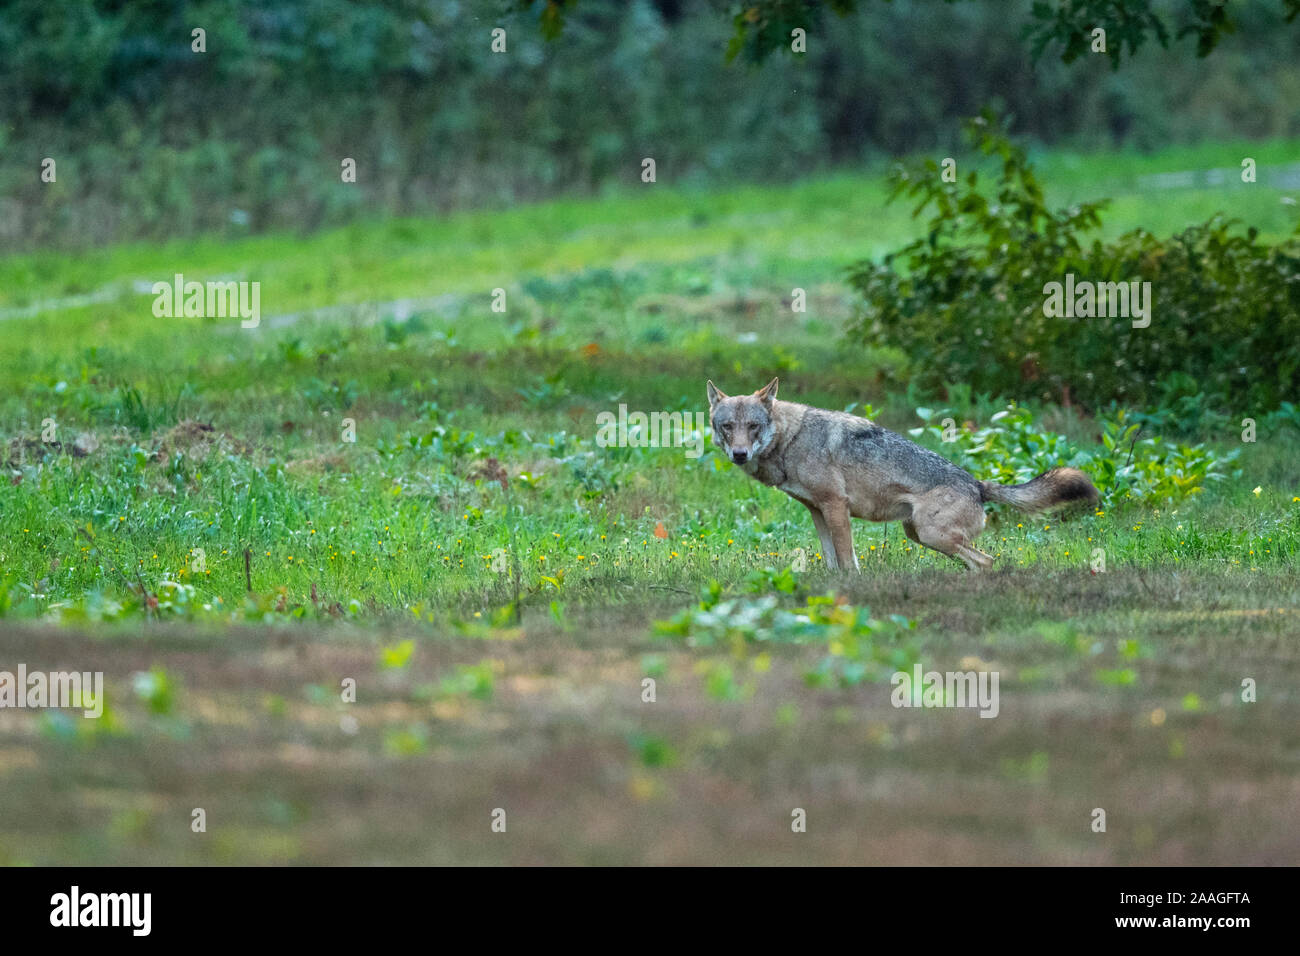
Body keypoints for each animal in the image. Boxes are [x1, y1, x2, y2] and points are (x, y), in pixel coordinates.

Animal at [712, 379, 1097, 572]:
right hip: (917, 533)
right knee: (980, 562)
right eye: (727, 427)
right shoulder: (817, 511)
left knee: (986, 561)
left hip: (929, 534)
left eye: (753, 426)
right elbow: (832, 562)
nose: (739, 454)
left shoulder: (836, 506)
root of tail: (977, 483)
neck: (791, 438)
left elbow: (848, 561)